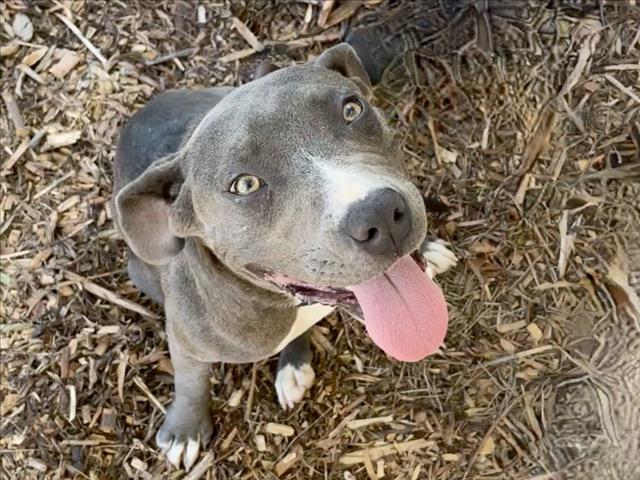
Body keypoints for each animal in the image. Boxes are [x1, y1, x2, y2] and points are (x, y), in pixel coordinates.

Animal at [112, 43, 458, 470]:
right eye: (244, 185)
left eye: (351, 109)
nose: (378, 213)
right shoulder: (187, 341)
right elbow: (191, 381)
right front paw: (186, 429)